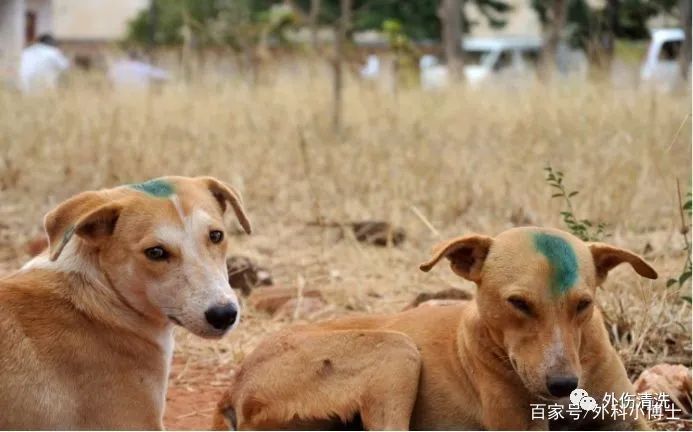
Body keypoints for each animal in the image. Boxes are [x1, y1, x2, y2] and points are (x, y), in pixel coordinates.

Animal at [214, 228, 656, 430]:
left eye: (584, 304)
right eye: (518, 304)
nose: (564, 384)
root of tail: (234, 385)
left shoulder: (628, 416)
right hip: (397, 350)